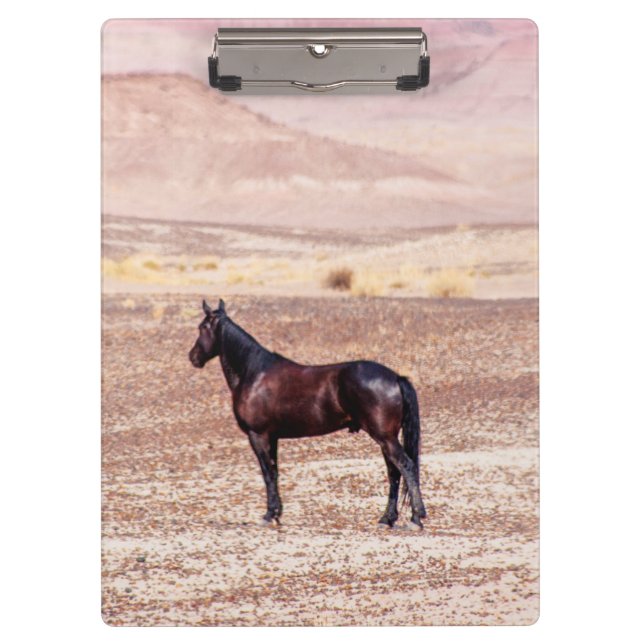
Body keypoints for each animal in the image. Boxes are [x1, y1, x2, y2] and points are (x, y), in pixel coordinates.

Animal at [189, 298, 427, 529]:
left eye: (202, 327)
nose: (193, 357)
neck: (254, 373)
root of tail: (396, 377)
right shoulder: (272, 437)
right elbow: (275, 472)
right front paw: (277, 514)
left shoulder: (258, 435)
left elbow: (267, 474)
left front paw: (268, 515)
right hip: (386, 439)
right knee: (394, 473)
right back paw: (387, 519)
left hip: (385, 438)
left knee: (405, 466)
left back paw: (415, 519)